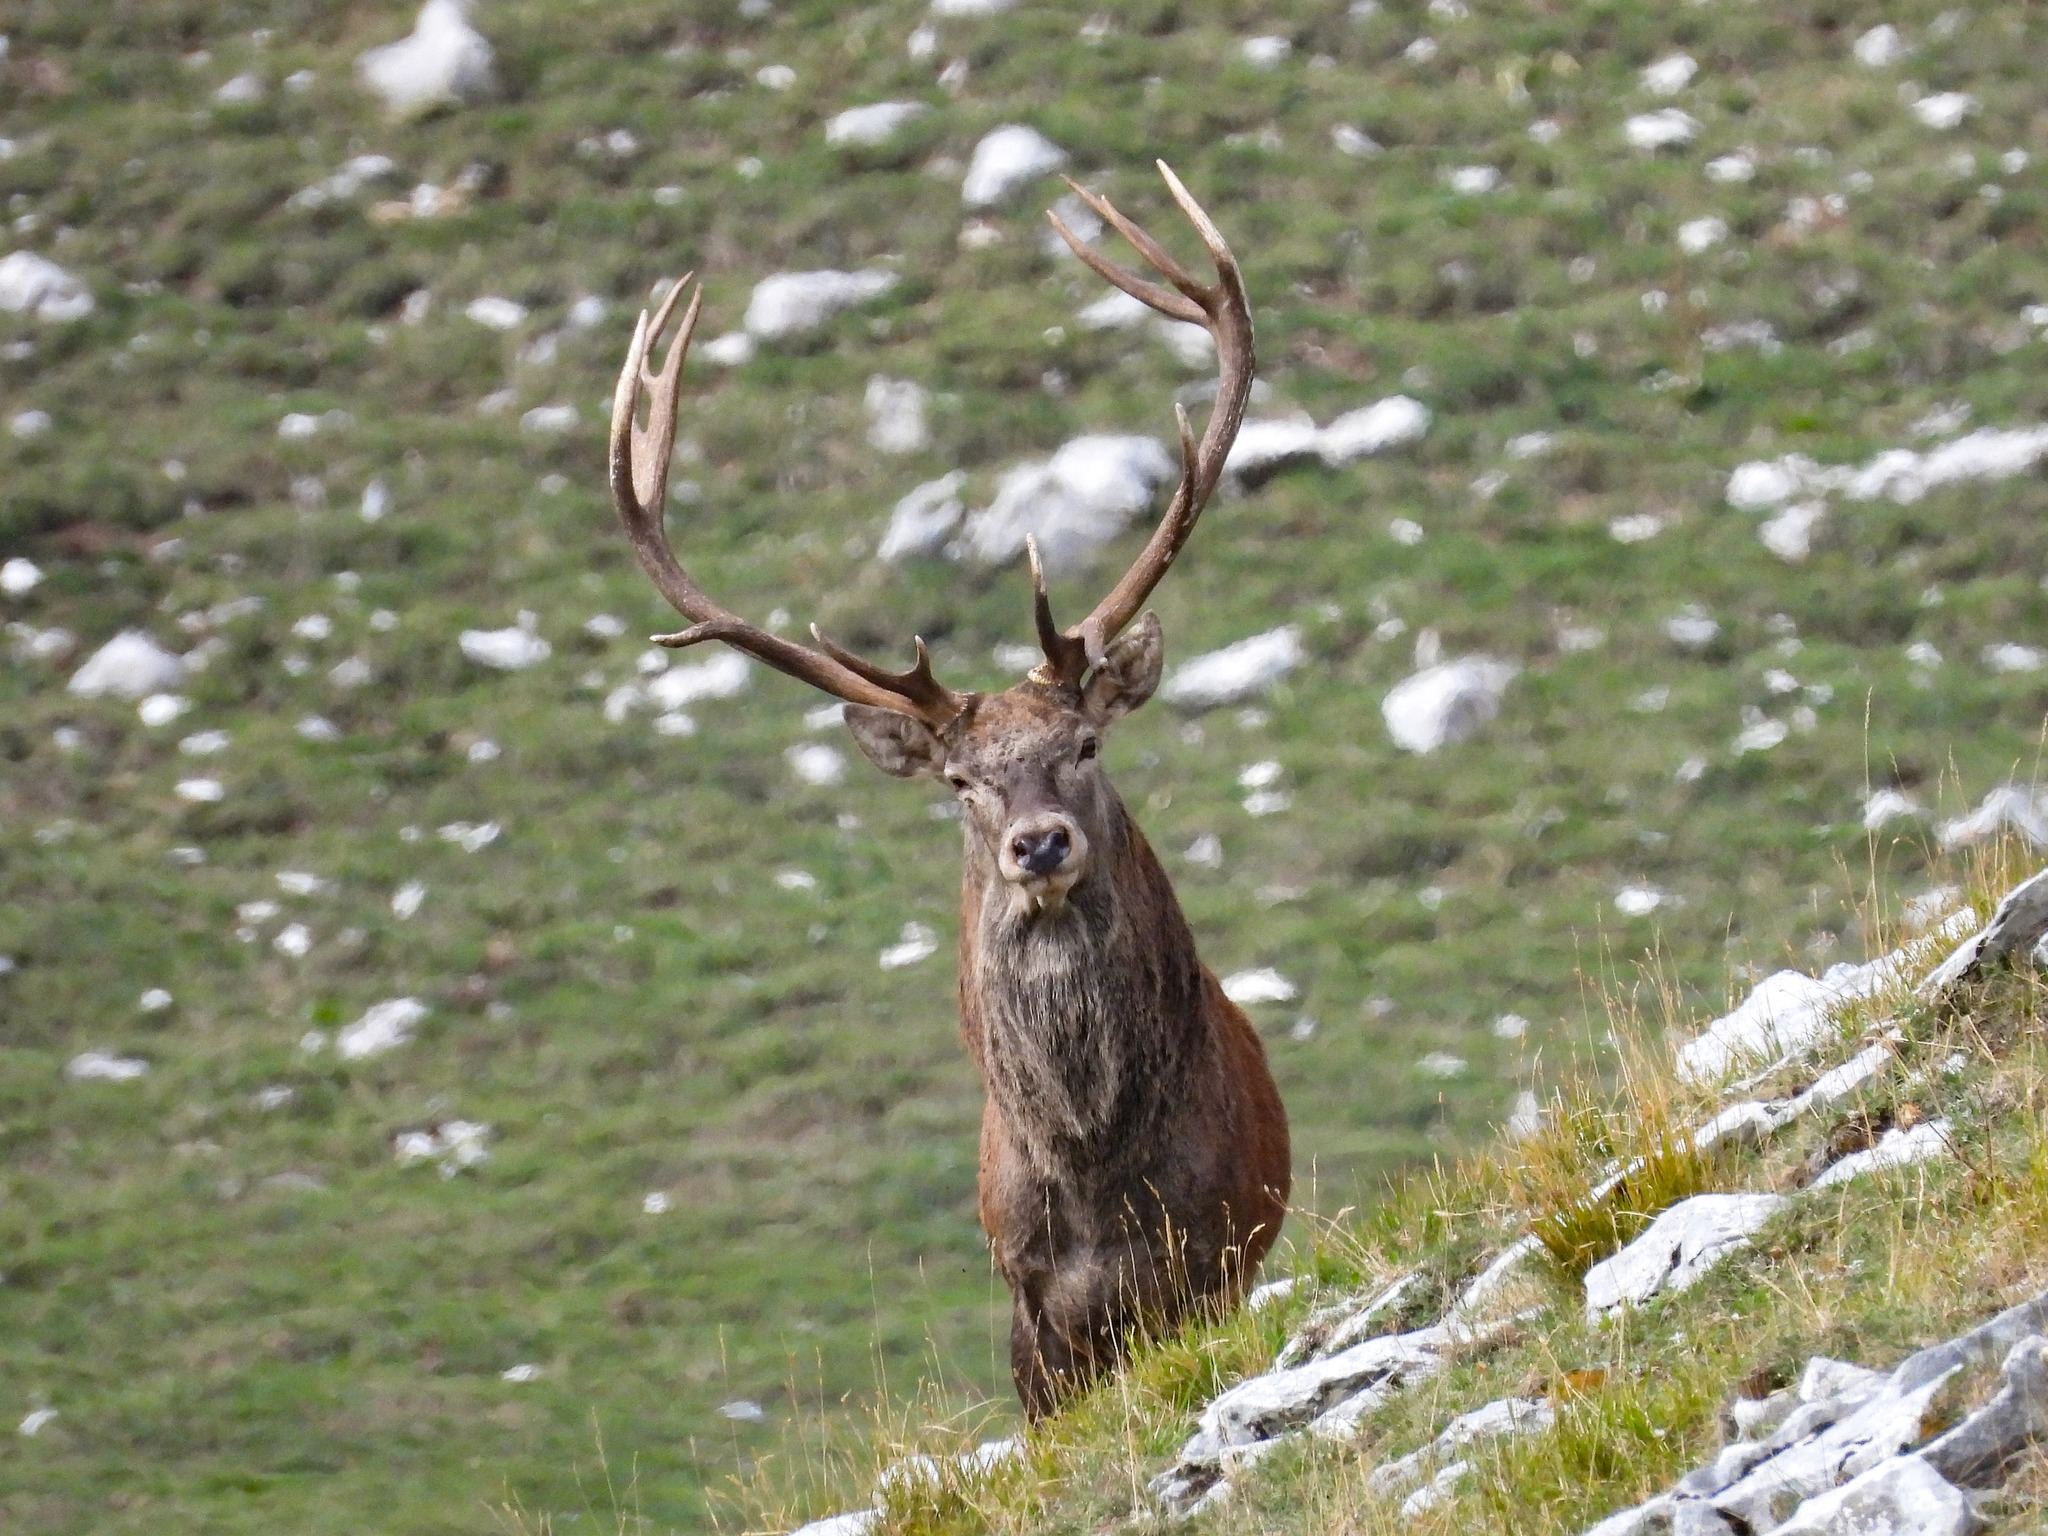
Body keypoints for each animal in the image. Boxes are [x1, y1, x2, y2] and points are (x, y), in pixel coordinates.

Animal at [607, 164, 1289, 1418]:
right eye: (963, 782)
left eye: (1084, 744)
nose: (1039, 846)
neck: (1095, 1176)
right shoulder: (1027, 1306)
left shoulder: (1214, 1255)